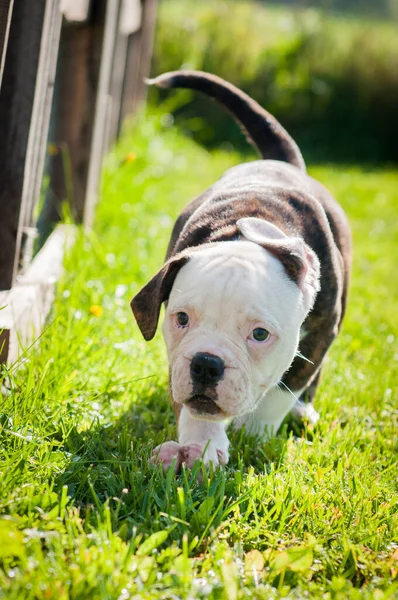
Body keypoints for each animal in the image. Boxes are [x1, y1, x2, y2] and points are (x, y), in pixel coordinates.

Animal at [131, 70, 352, 472]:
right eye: (181, 318)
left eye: (260, 335)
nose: (206, 365)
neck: (250, 233)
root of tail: (285, 163)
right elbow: (196, 410)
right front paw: (202, 445)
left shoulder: (321, 330)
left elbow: (285, 386)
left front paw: (255, 432)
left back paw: (302, 411)